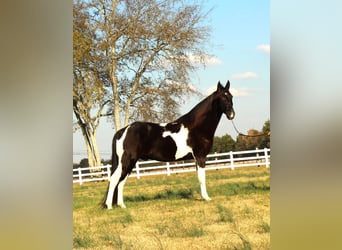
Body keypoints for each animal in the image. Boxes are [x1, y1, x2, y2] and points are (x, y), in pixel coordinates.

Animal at [101, 80, 235, 209]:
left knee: (121, 182)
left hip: (130, 162)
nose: (231, 114)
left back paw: (122, 205)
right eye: (223, 97)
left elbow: (199, 177)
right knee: (114, 179)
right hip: (125, 161)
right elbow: (202, 178)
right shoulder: (200, 157)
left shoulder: (197, 158)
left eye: (231, 96)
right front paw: (206, 198)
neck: (196, 127)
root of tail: (123, 131)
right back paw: (109, 206)